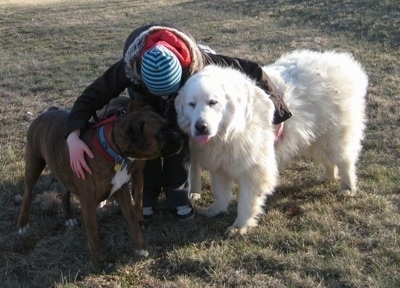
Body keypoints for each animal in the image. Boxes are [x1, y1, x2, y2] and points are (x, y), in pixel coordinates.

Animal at [17, 102, 183, 268]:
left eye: (170, 126)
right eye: (160, 134)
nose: (178, 136)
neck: (112, 150)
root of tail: (49, 111)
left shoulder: (122, 191)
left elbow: (132, 220)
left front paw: (140, 248)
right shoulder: (88, 204)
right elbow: (94, 235)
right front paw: (101, 262)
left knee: (65, 190)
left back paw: (68, 217)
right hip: (34, 164)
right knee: (27, 194)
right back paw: (22, 224)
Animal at [175, 49, 368, 235]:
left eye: (213, 102)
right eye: (191, 104)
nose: (201, 127)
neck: (231, 130)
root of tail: (344, 65)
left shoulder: (253, 170)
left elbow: (246, 202)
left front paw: (240, 226)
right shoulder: (220, 165)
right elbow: (221, 194)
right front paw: (215, 210)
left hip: (333, 138)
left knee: (345, 162)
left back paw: (348, 188)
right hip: (316, 138)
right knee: (329, 161)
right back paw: (327, 177)